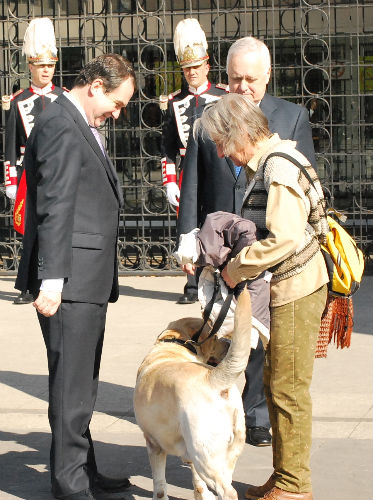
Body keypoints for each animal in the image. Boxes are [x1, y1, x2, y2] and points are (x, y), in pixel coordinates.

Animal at [132, 288, 251, 498]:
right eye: (215, 337)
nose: (228, 342)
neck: (173, 345)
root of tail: (213, 379)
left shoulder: (153, 445)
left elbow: (160, 486)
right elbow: (198, 485)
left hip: (204, 455)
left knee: (228, 492)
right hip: (229, 451)